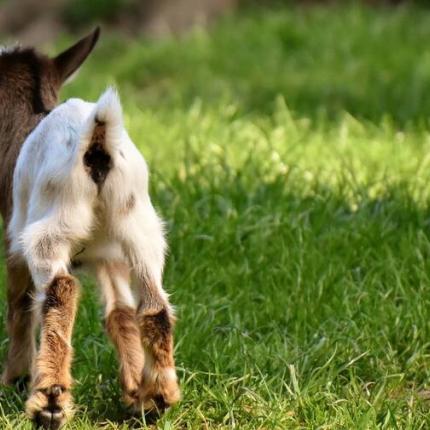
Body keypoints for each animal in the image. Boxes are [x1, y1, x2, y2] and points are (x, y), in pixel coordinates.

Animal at [0, 29, 180, 426]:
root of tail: (96, 140)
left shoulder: (14, 236)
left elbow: (18, 302)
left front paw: (15, 377)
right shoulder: (108, 258)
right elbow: (120, 314)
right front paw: (135, 390)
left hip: (50, 228)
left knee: (61, 290)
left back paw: (50, 401)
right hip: (139, 226)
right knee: (154, 305)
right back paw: (159, 395)